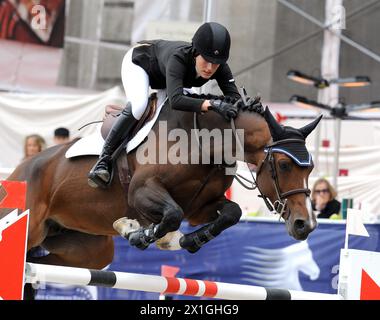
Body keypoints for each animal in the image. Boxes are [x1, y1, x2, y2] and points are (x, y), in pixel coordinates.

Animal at [0, 97, 320, 270]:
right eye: (284, 165)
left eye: (311, 168)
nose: (305, 224)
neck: (205, 143)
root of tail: (18, 171)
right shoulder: (143, 192)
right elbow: (171, 215)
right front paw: (136, 233)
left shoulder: (200, 207)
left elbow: (231, 213)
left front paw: (190, 241)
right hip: (31, 225)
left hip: (89, 249)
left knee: (38, 266)